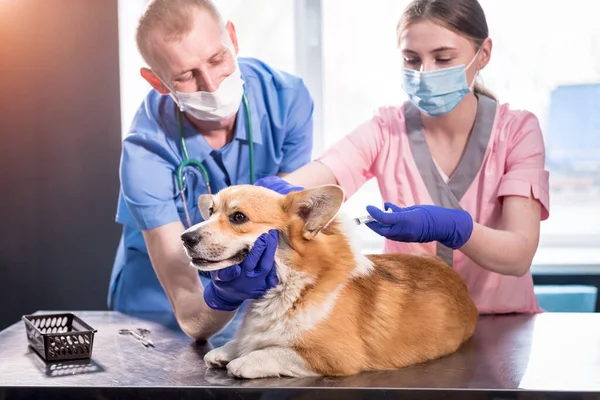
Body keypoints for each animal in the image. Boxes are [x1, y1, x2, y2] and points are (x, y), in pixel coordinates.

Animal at [178, 184, 478, 378]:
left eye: (238, 217)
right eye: (211, 211)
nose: (185, 237)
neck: (293, 288)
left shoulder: (334, 357)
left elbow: (275, 351)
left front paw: (245, 360)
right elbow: (247, 341)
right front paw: (229, 350)